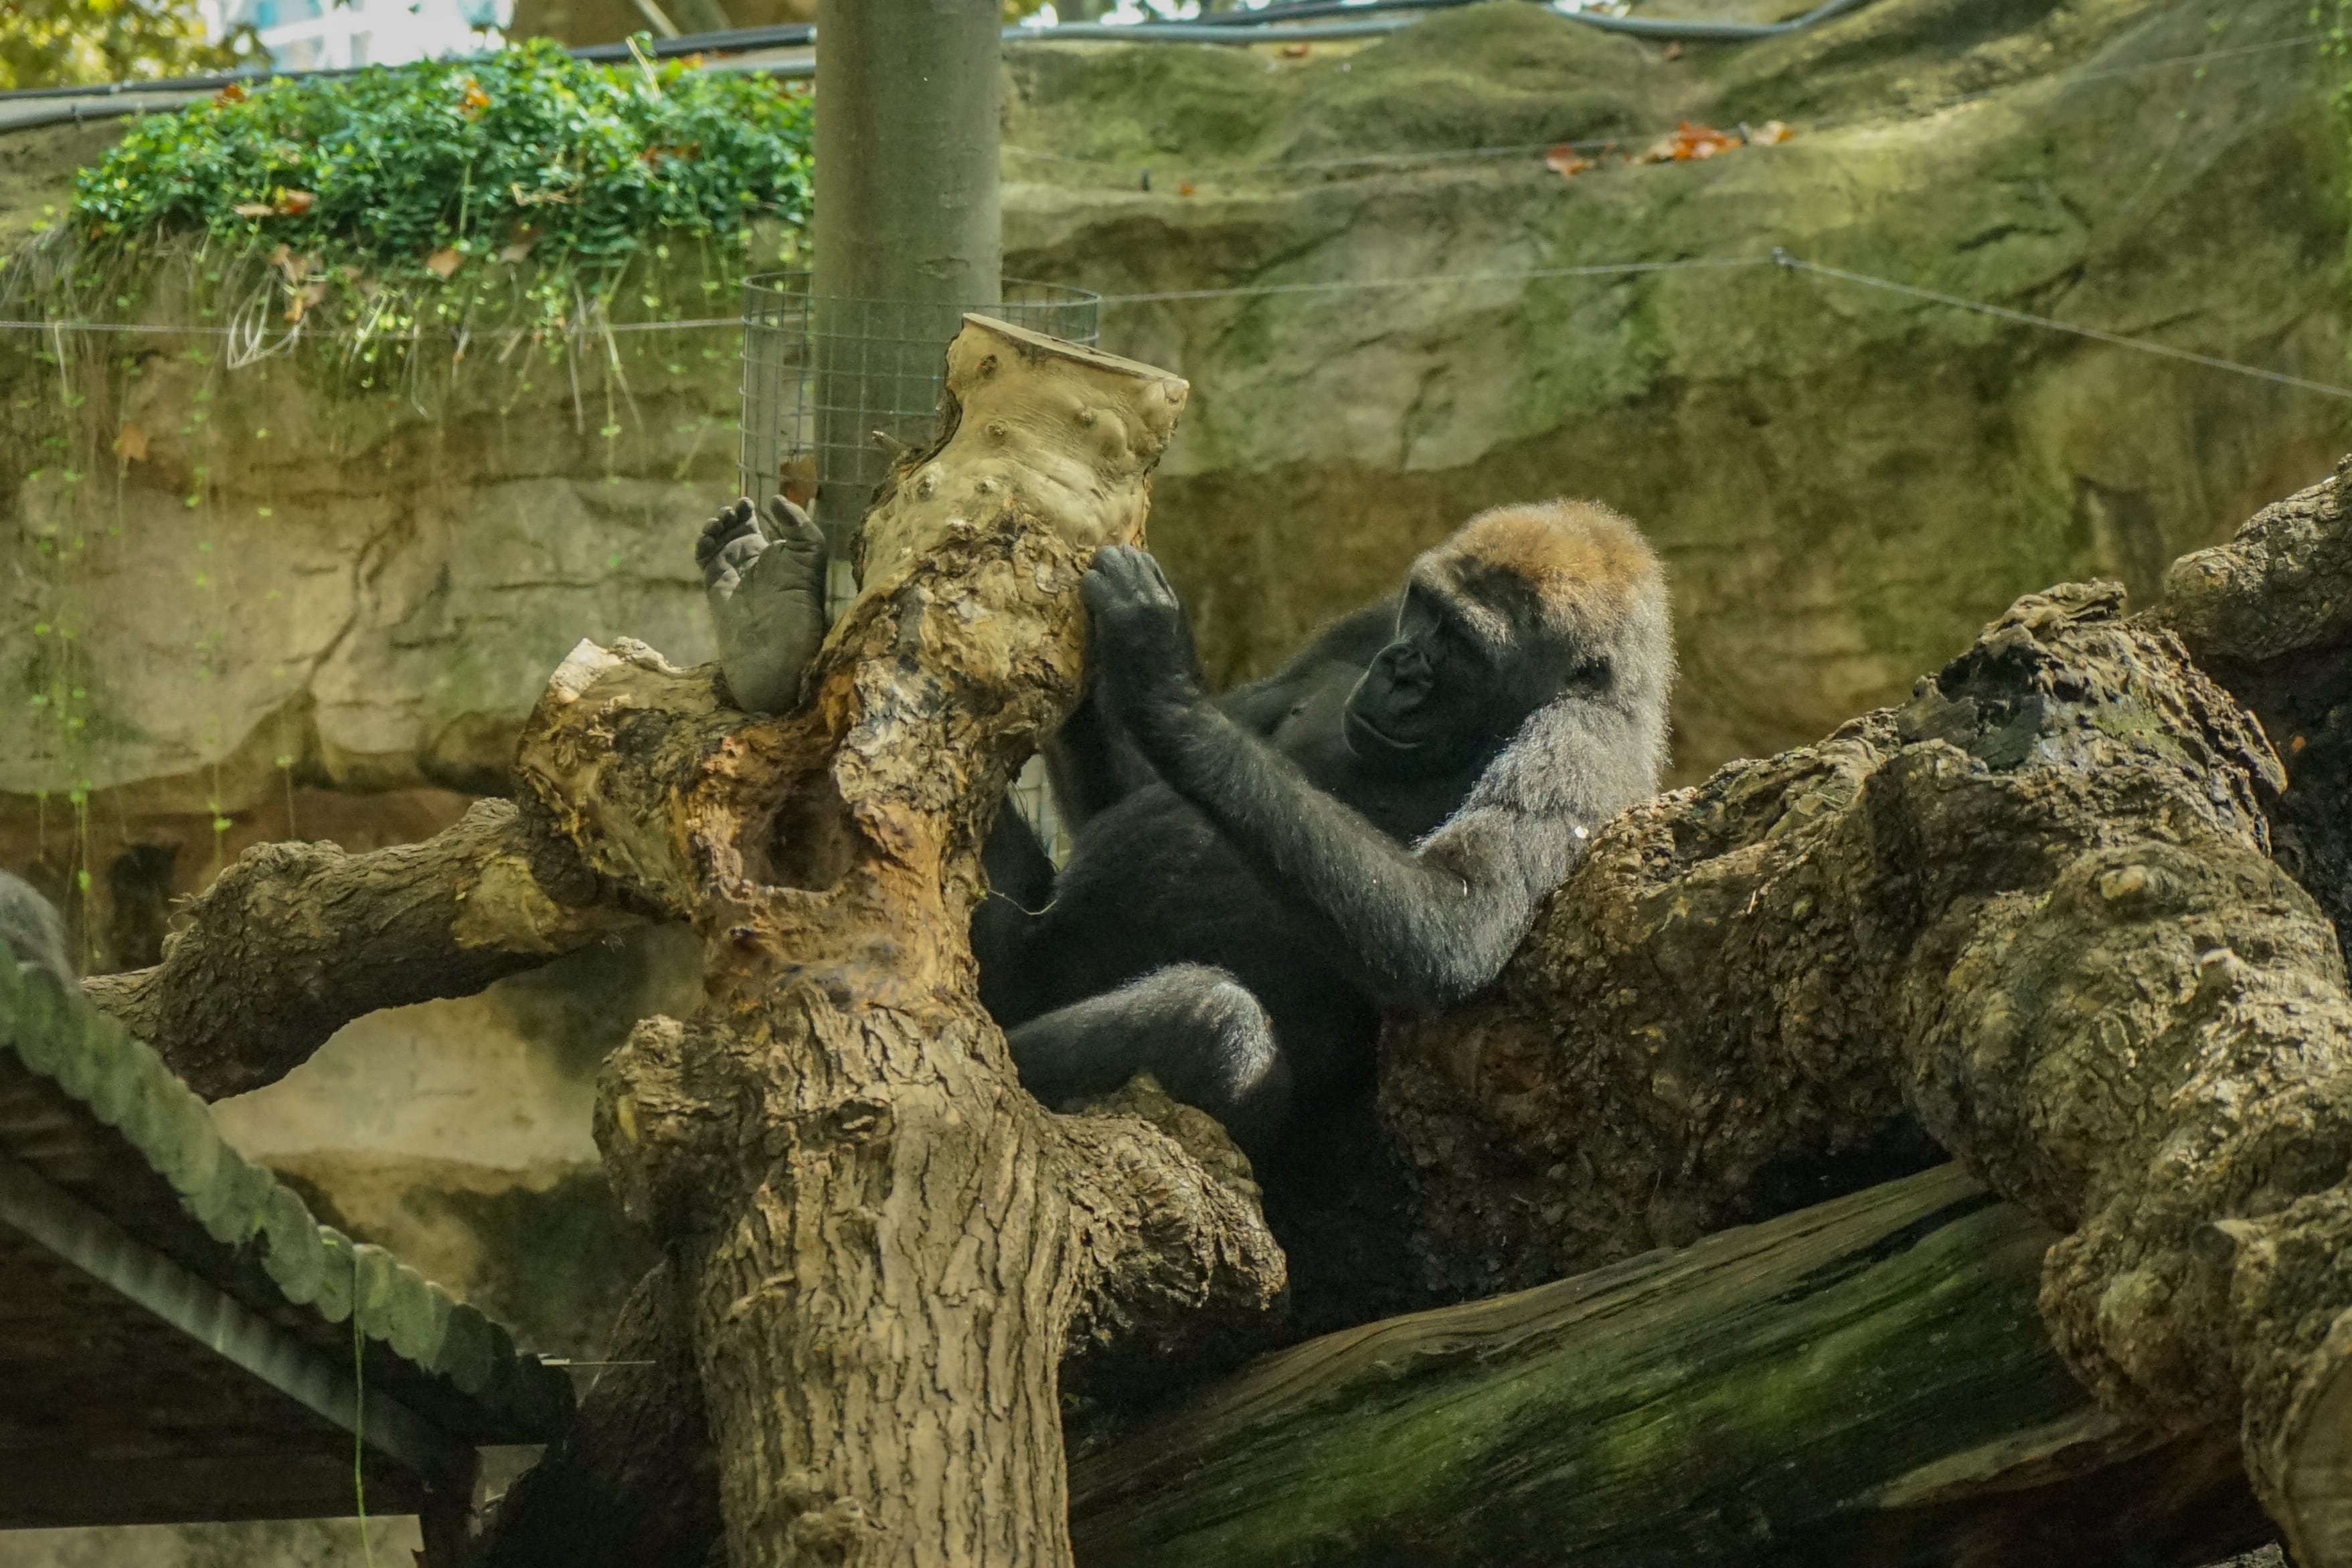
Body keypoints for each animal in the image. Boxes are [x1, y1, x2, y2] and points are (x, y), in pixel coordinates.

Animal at [691, 496, 1674, 1170]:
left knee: (1211, 1023)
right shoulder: (1358, 625)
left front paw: (1162, 675)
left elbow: (1450, 926)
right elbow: (1133, 794)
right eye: (1422, 613)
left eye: (1460, 647)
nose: (1401, 673)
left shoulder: (1583, 749)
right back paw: (769, 625)